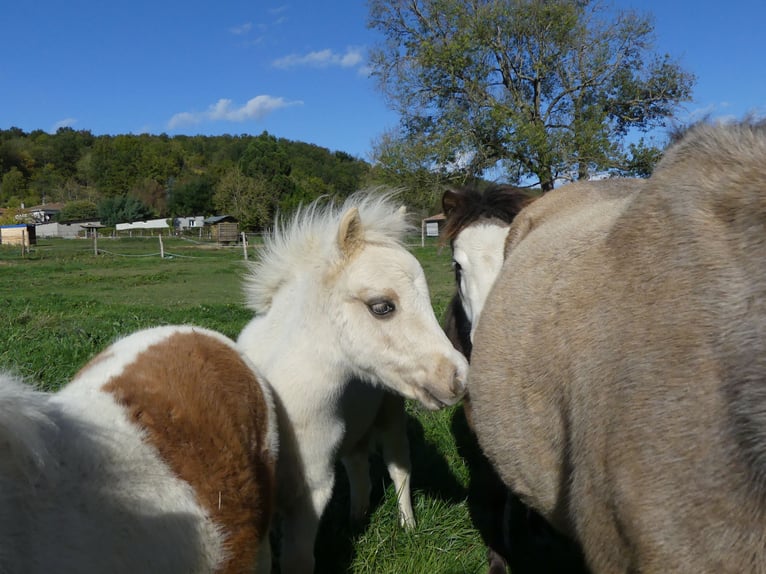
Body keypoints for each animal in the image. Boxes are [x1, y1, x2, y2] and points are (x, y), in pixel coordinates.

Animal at [237, 189, 469, 573]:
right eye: (382, 306)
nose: (458, 378)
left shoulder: (312, 490)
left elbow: (298, 560)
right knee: (358, 463)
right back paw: (357, 519)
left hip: (391, 416)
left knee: (399, 467)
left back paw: (407, 526)